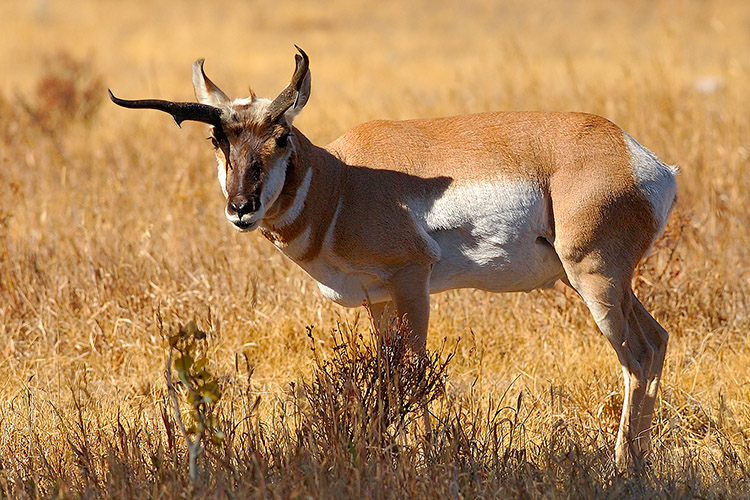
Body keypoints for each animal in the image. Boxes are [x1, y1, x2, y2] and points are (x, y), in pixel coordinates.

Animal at [110, 46, 680, 468]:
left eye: (281, 135)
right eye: (217, 138)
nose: (241, 209)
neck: (343, 182)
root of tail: (643, 160)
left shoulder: (411, 283)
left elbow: (414, 375)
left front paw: (428, 462)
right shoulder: (378, 301)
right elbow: (387, 378)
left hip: (595, 281)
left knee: (636, 356)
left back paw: (619, 467)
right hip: (605, 284)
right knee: (657, 340)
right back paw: (638, 463)